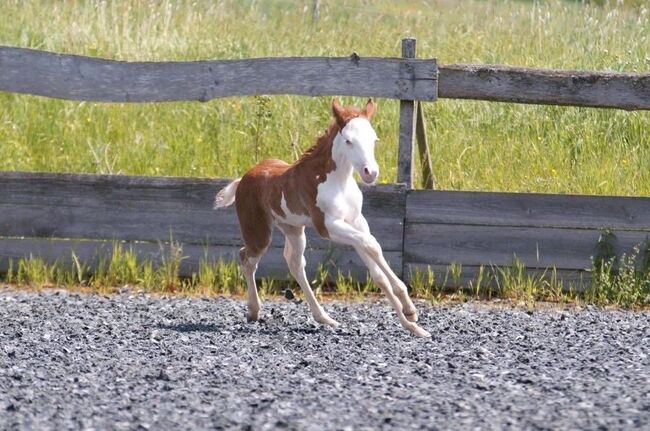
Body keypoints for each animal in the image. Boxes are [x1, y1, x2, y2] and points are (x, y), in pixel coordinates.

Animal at [213, 100, 430, 338]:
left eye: (374, 139)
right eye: (349, 140)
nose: (370, 173)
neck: (337, 181)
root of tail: (243, 179)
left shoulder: (357, 221)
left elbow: (376, 268)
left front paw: (412, 323)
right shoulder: (327, 226)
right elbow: (371, 244)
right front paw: (409, 309)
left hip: (293, 230)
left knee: (295, 263)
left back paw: (324, 318)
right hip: (259, 233)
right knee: (246, 258)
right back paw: (254, 310)